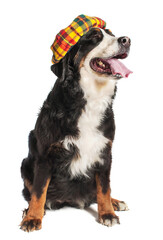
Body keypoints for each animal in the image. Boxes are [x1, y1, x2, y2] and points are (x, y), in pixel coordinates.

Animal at [19, 15, 132, 232]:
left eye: (112, 34)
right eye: (95, 37)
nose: (126, 40)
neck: (89, 98)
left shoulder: (104, 152)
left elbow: (104, 188)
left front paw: (107, 213)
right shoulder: (45, 154)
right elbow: (38, 191)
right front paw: (32, 217)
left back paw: (115, 202)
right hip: (25, 163)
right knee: (30, 191)